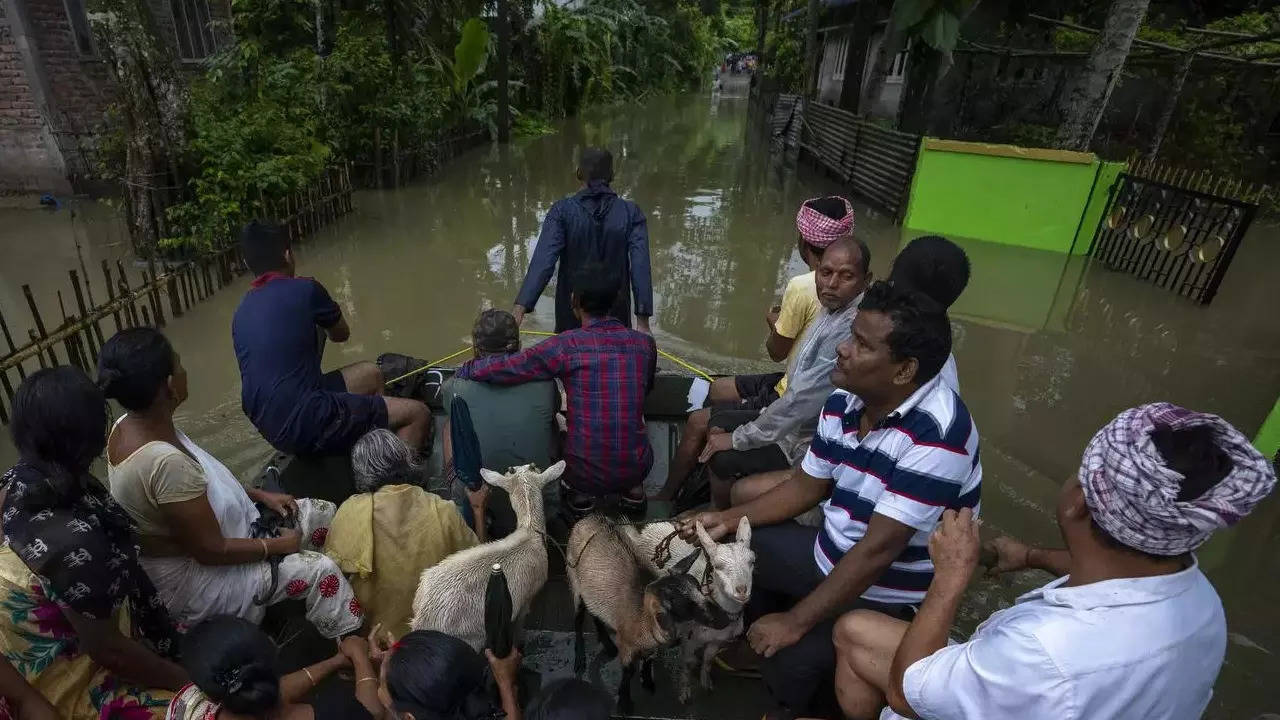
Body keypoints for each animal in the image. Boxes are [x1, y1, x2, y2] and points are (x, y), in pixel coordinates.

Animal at [622, 515, 752, 702]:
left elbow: (708, 660)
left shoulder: (717, 641)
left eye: (752, 562)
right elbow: (687, 663)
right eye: (717, 566)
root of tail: (645, 529)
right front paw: (685, 692)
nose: (742, 590)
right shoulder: (690, 640)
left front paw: (706, 682)